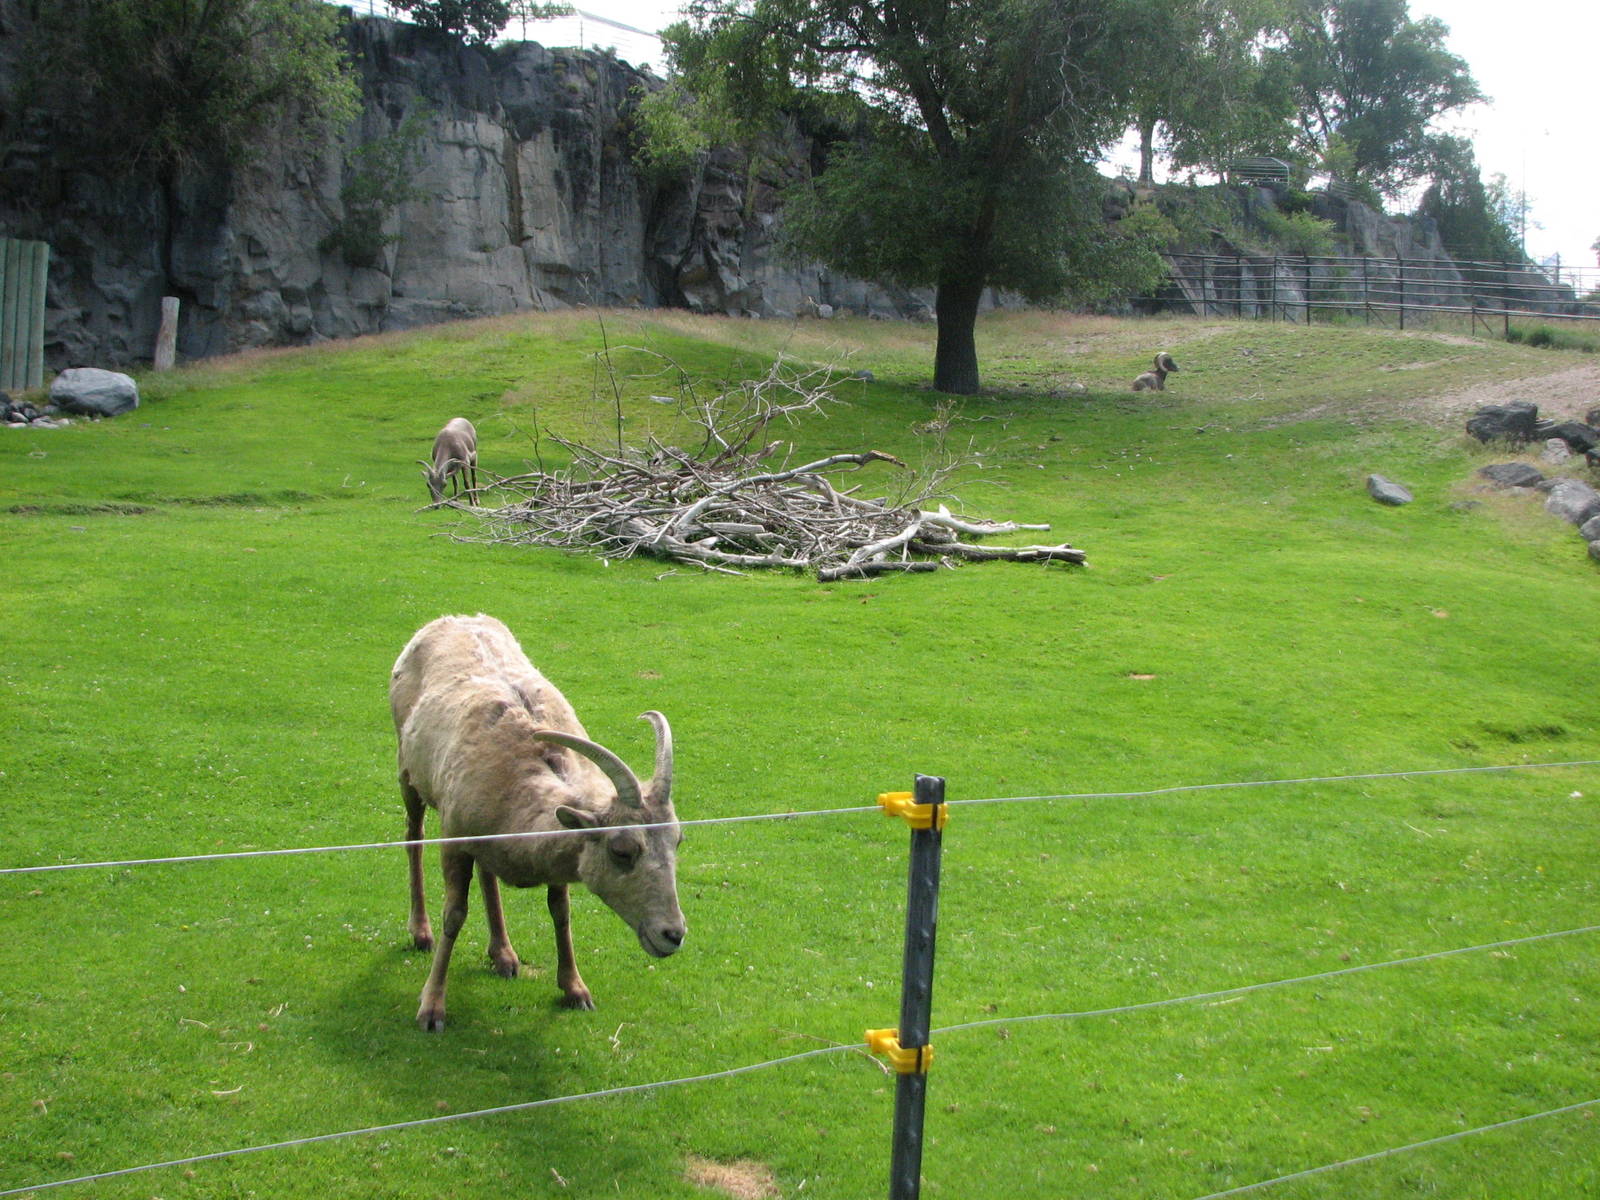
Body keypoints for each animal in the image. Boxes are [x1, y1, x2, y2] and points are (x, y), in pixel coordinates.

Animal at [390, 613, 686, 1032]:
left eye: (677, 841)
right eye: (622, 850)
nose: (672, 934)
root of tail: (454, 618)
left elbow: (560, 911)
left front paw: (575, 989)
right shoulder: (455, 836)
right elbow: (454, 915)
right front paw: (432, 1008)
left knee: (487, 871)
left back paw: (503, 954)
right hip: (407, 769)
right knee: (413, 836)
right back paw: (420, 932)